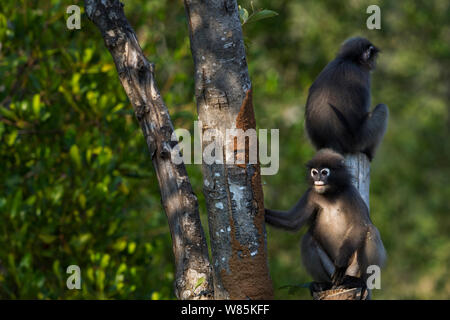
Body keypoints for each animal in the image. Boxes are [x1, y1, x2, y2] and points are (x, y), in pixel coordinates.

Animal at [266, 150, 384, 296]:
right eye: (314, 172)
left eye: (324, 172)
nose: (318, 179)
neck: (330, 194)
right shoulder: (311, 194)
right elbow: (292, 221)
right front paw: (259, 210)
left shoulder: (351, 193)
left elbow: (360, 225)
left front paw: (341, 263)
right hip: (330, 271)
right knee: (308, 239)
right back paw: (322, 284)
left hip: (353, 268)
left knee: (370, 231)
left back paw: (359, 281)